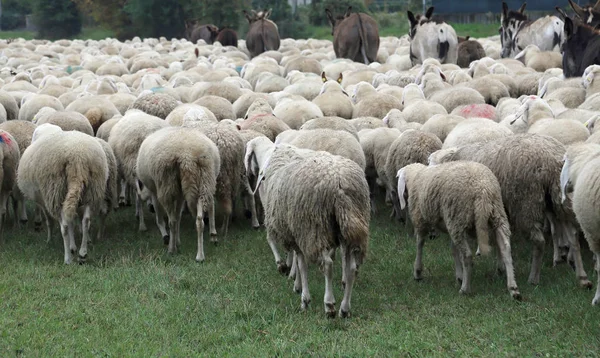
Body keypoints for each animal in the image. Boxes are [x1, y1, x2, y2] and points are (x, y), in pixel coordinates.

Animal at [18, 124, 108, 264]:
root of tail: (77, 158)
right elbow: (73, 222)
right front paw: (73, 246)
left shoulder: (45, 201)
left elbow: (51, 221)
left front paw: (50, 240)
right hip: (92, 191)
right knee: (86, 221)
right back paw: (82, 253)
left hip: (56, 191)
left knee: (64, 226)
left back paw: (67, 259)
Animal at [136, 127, 220, 262]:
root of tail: (187, 155)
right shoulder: (180, 194)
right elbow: (179, 216)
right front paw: (178, 241)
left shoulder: (155, 191)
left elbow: (163, 219)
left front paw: (170, 240)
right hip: (204, 180)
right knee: (199, 219)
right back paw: (200, 255)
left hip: (167, 183)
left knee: (172, 221)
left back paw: (172, 249)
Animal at [398, 162, 520, 300]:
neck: (415, 177)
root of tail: (483, 190)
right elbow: (454, 250)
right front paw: (459, 275)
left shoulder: (420, 220)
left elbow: (420, 244)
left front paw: (417, 271)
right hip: (496, 214)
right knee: (506, 248)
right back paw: (513, 288)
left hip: (457, 217)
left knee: (467, 255)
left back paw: (465, 289)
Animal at [428, 134, 592, 288]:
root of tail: (551, 158)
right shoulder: (498, 209)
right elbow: (499, 240)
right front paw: (501, 267)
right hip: (558, 198)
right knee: (573, 236)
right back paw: (582, 277)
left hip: (526, 204)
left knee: (539, 241)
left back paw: (533, 278)